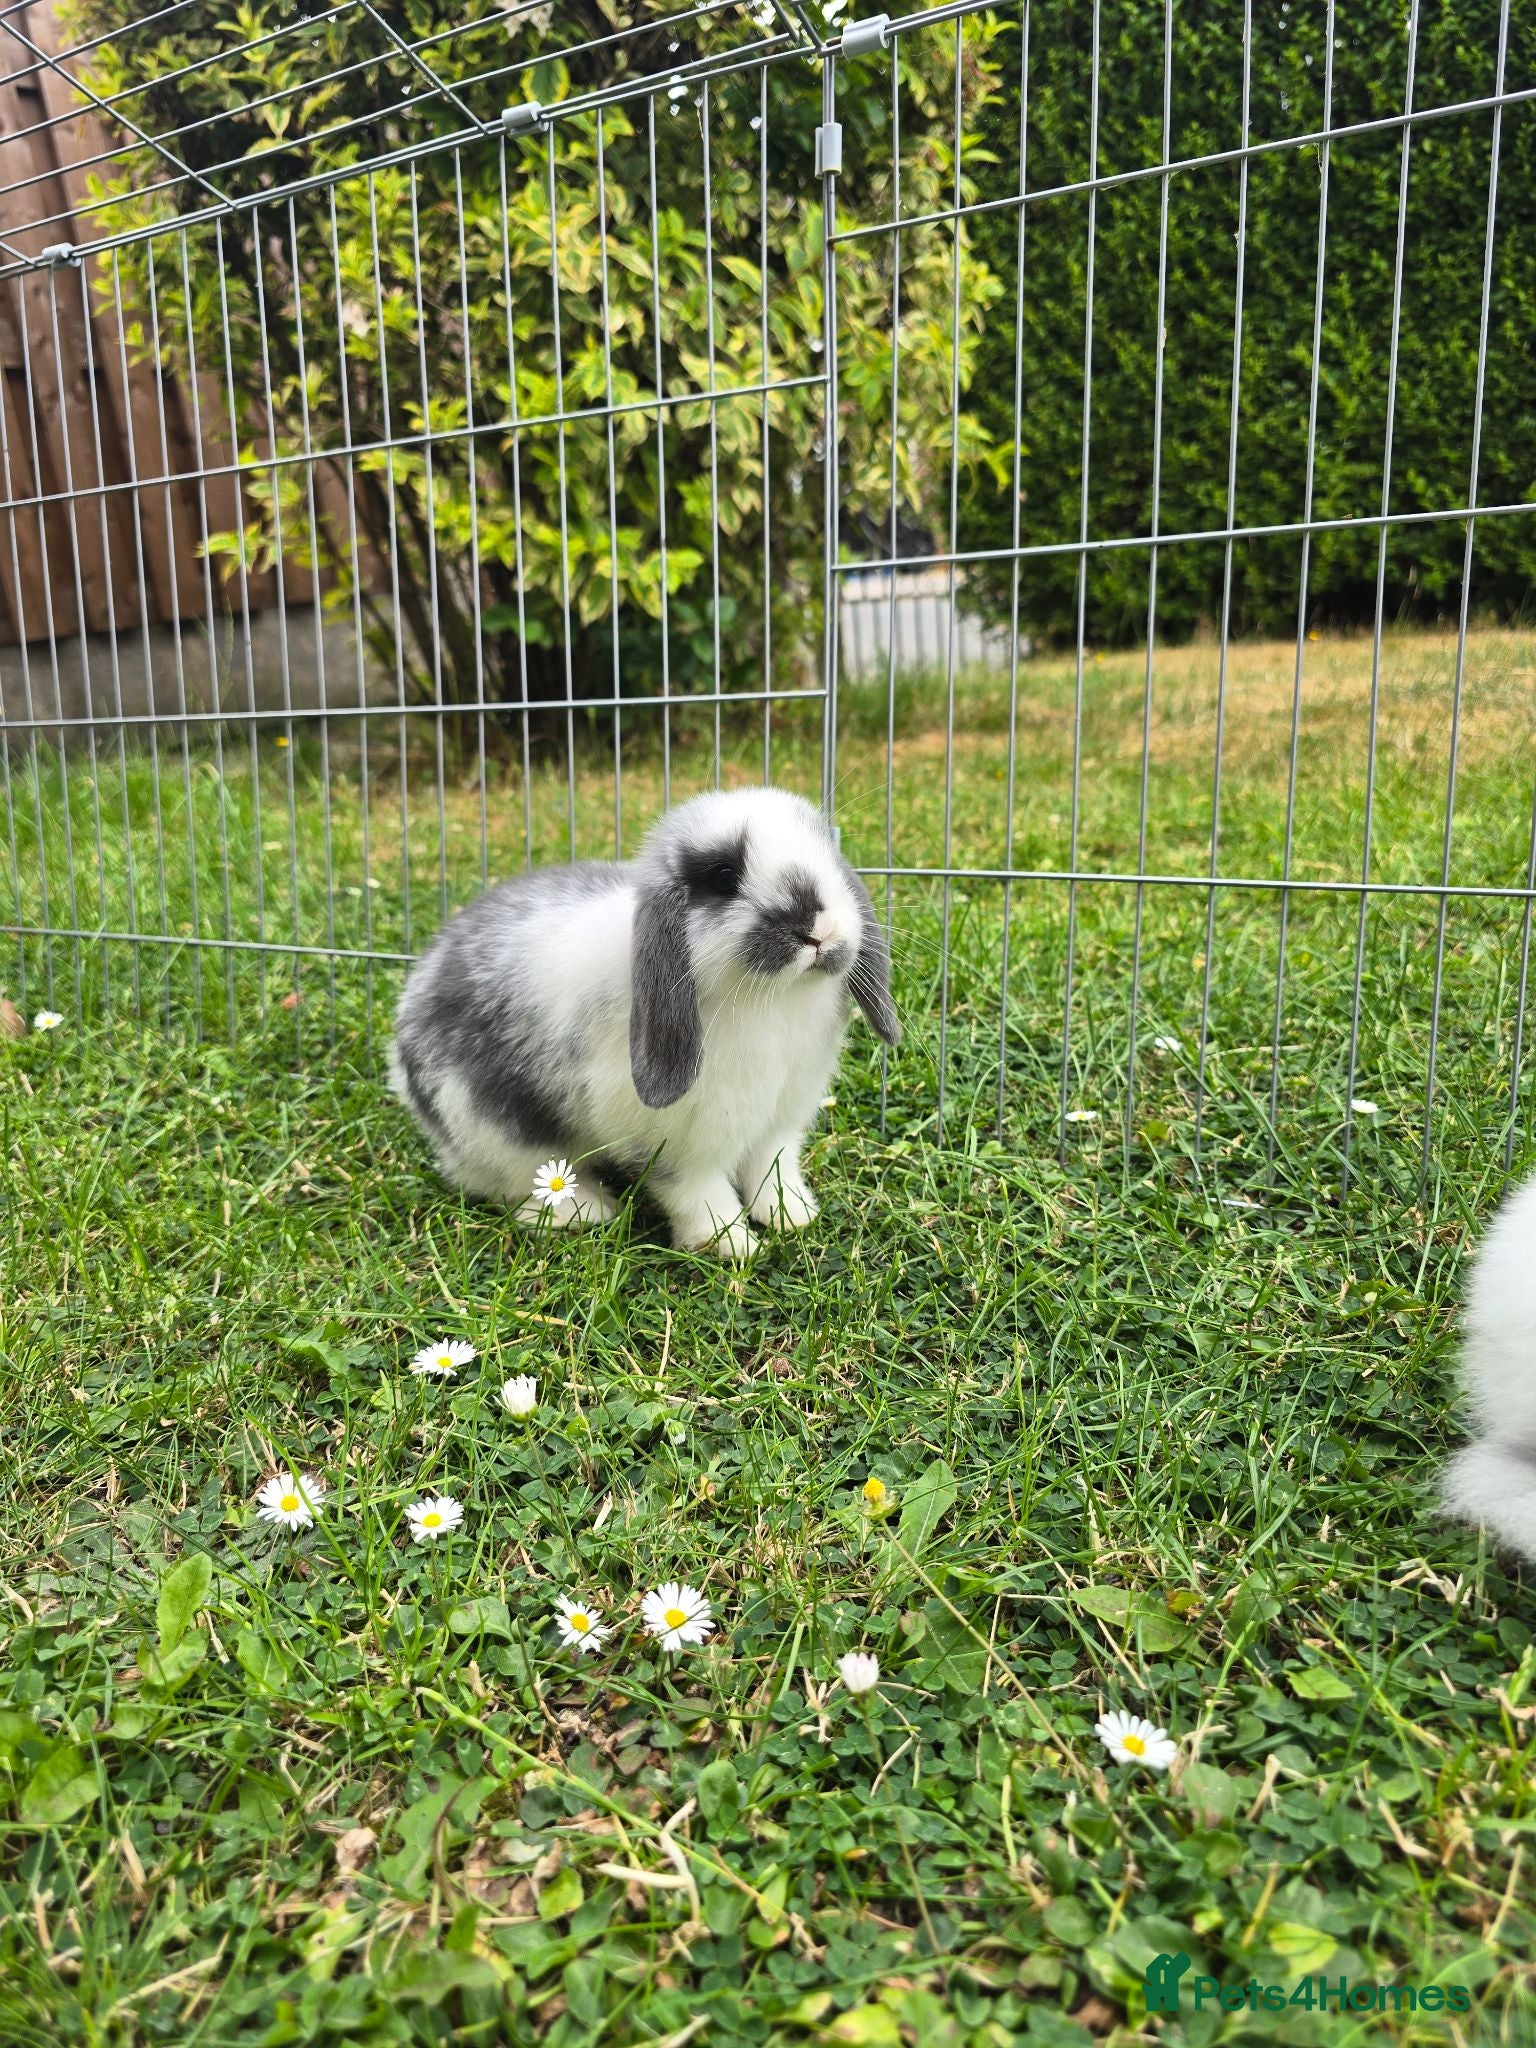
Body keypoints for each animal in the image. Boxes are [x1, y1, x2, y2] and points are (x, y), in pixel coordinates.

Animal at [388, 786, 899, 1260]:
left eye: (827, 853)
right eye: (723, 877)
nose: (817, 928)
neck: (774, 999)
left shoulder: (777, 1122)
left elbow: (771, 1170)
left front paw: (793, 1216)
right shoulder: (678, 1144)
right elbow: (699, 1193)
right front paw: (732, 1246)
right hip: (492, 1126)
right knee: (513, 1184)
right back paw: (587, 1210)